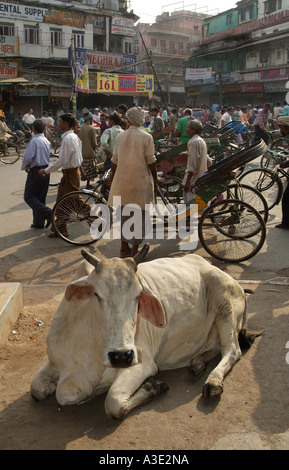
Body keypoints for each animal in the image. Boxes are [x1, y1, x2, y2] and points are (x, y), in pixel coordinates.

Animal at [30, 246, 260, 418]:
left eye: (139, 294)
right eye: (96, 294)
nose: (121, 355)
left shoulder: (144, 364)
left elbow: (113, 402)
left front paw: (152, 387)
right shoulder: (54, 361)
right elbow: (37, 390)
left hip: (224, 303)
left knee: (232, 350)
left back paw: (213, 381)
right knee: (218, 347)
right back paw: (197, 363)